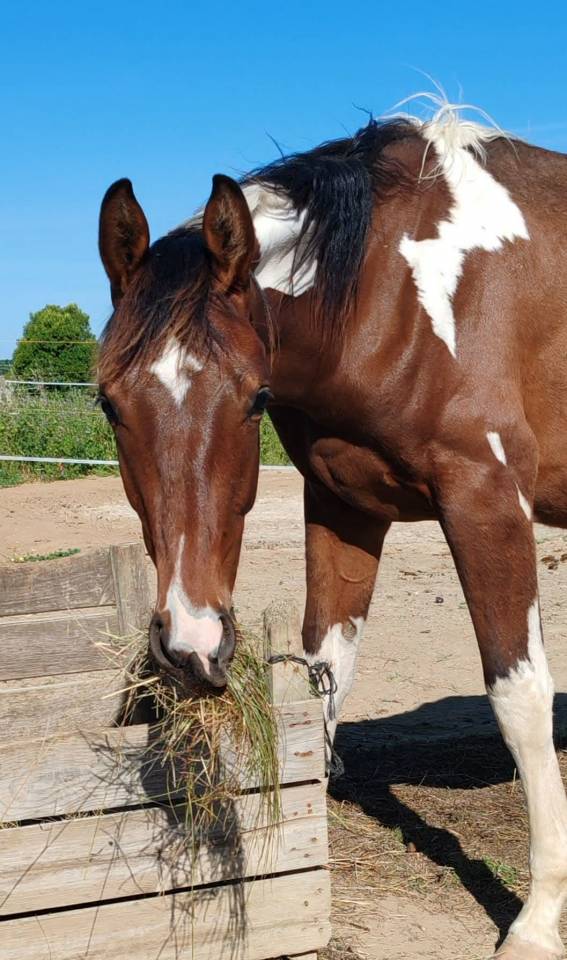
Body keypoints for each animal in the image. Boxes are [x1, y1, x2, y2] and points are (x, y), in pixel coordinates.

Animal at [97, 101, 567, 959]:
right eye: (108, 403)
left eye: (252, 398)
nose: (190, 644)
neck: (392, 295)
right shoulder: (344, 506)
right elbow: (325, 671)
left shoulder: (486, 499)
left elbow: (518, 697)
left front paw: (536, 920)